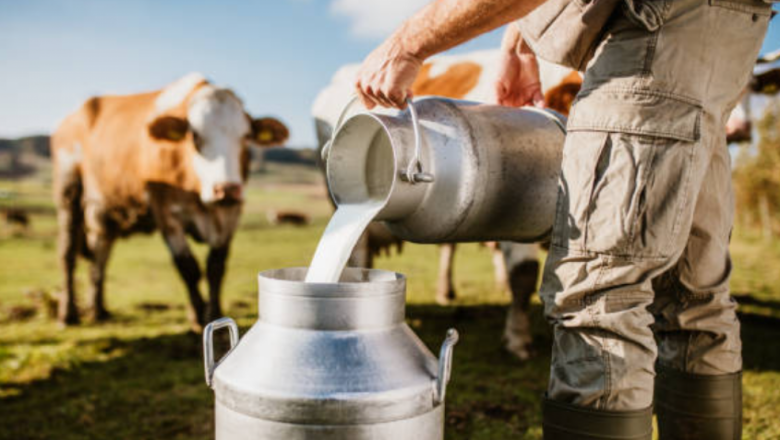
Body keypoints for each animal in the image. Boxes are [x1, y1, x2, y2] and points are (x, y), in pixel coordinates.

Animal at [51, 72, 290, 328]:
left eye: (245, 137)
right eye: (195, 136)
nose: (226, 189)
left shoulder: (230, 213)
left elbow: (216, 267)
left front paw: (214, 313)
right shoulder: (166, 212)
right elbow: (188, 267)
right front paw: (198, 317)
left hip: (105, 212)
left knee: (100, 255)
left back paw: (98, 309)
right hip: (69, 191)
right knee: (67, 254)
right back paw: (68, 314)